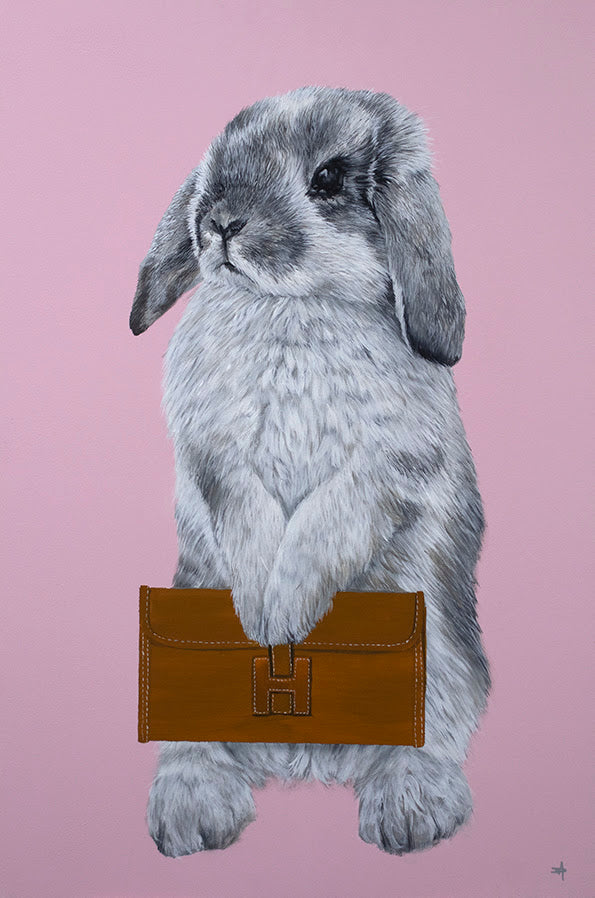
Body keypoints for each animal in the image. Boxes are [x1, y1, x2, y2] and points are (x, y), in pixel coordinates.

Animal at [130, 86, 490, 858]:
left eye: (325, 179)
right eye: (214, 166)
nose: (218, 222)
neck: (290, 308)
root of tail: (306, 759)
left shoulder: (385, 468)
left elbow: (324, 526)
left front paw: (284, 615)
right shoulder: (216, 456)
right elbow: (247, 516)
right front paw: (262, 616)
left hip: (440, 651)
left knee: (435, 729)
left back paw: (408, 808)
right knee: (194, 742)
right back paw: (192, 810)